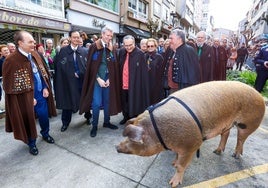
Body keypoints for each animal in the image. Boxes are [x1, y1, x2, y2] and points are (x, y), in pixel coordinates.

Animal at [115, 80, 266, 187]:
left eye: (132, 139)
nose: (116, 147)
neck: (160, 133)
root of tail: (259, 95)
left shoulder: (192, 144)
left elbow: (181, 166)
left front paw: (172, 183)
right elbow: (177, 157)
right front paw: (173, 163)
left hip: (248, 123)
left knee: (241, 139)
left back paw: (235, 155)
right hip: (227, 124)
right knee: (226, 134)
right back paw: (217, 151)